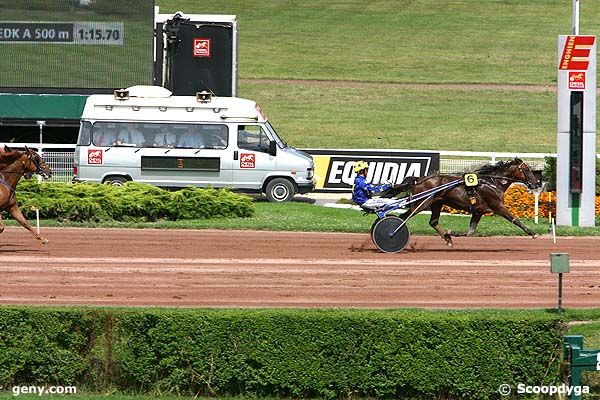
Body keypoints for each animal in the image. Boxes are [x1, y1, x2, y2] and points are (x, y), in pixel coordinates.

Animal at [386, 157, 540, 247]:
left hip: (436, 203)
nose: (536, 183)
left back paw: (447, 239)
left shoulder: (478, 212)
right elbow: (515, 220)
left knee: (433, 221)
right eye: (526, 170)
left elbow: (470, 232)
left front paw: (450, 233)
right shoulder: (498, 206)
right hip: (423, 203)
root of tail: (419, 179)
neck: (493, 183)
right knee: (403, 217)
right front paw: (533, 233)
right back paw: (392, 233)